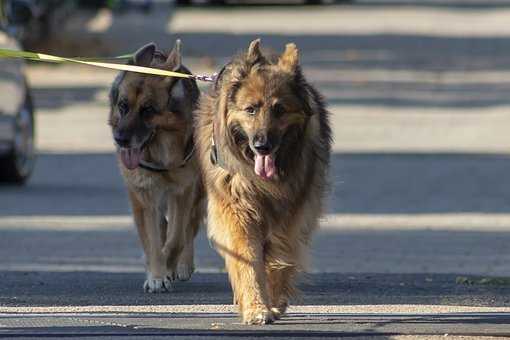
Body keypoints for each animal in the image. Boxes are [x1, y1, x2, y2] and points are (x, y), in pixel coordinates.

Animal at [108, 41, 204, 292]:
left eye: (148, 110)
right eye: (123, 106)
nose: (120, 140)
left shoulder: (183, 191)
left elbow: (177, 237)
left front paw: (168, 268)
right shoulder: (143, 197)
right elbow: (153, 240)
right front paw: (157, 275)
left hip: (196, 193)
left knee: (188, 228)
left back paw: (183, 265)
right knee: (162, 226)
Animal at [194, 39, 330, 324]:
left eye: (280, 110)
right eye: (251, 109)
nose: (262, 146)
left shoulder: (291, 213)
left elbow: (279, 255)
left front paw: (274, 302)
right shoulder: (236, 210)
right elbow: (247, 256)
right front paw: (256, 306)